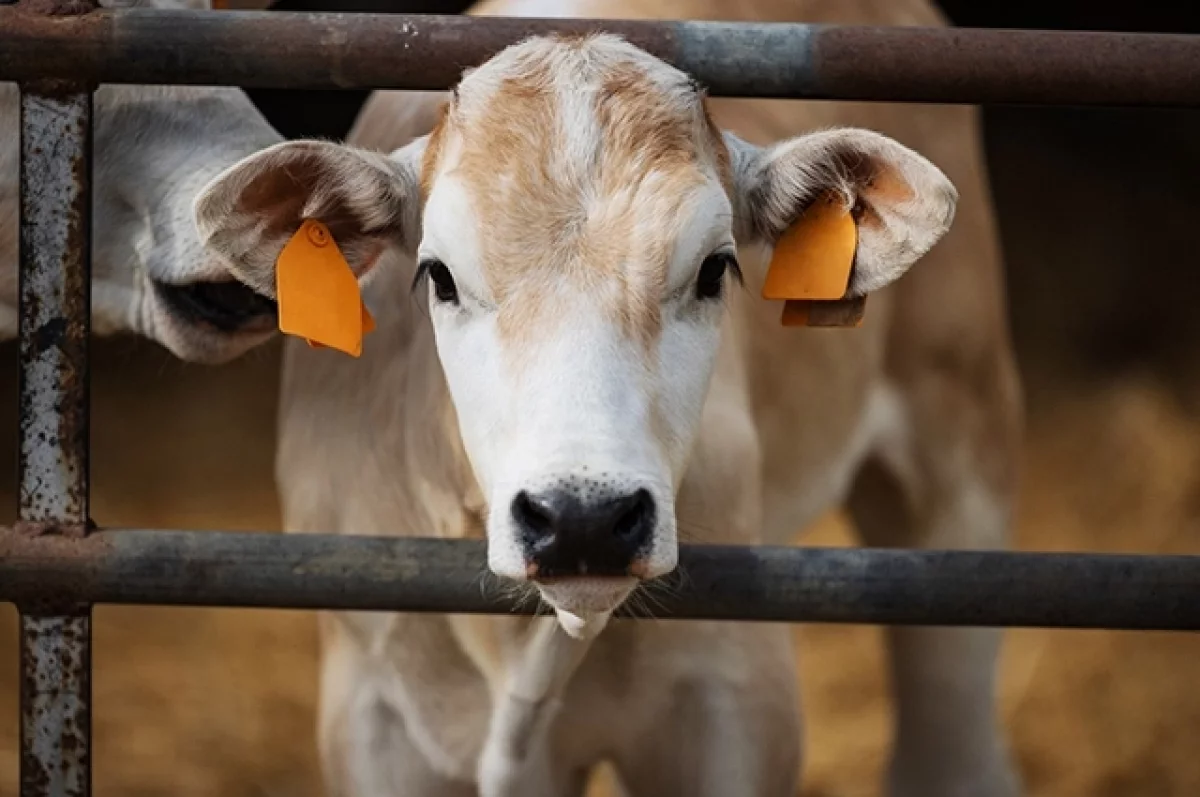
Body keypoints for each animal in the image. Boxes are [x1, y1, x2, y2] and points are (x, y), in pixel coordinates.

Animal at [196, 6, 1022, 797]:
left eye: (715, 269)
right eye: (439, 275)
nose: (582, 518)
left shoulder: (730, 699)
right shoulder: (375, 715)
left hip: (961, 468)